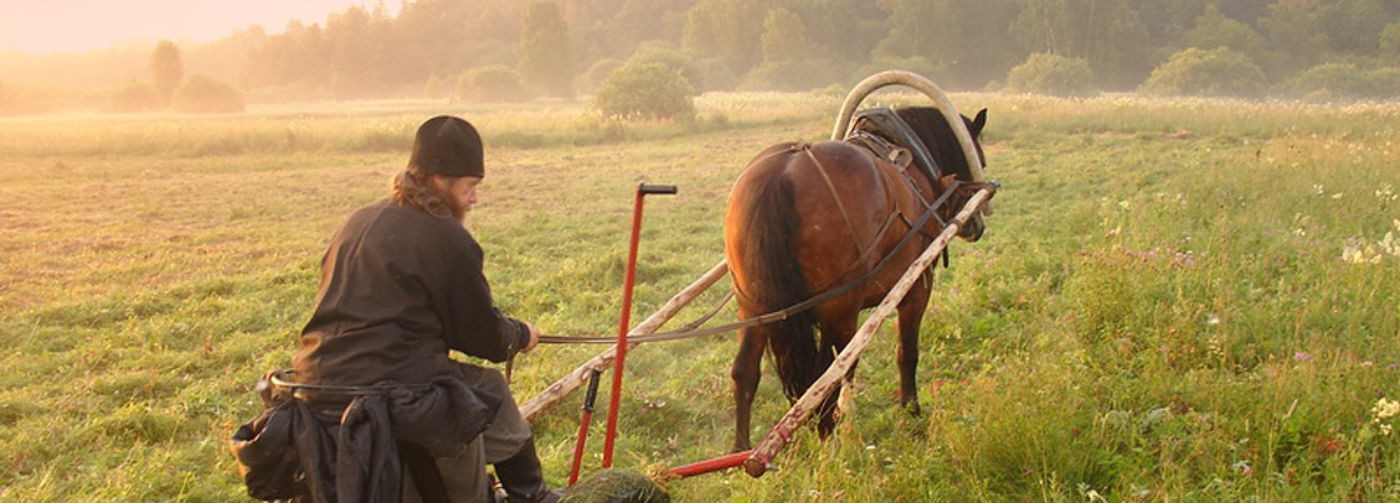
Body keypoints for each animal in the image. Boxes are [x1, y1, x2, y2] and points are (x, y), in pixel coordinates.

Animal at [728, 106, 991, 453]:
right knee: (822, 377)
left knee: (745, 372)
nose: (976, 225)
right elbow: (906, 353)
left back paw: (741, 450)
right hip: (836, 310)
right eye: (979, 159)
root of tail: (783, 175)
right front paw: (912, 412)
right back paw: (828, 445)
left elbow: (850, 364)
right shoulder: (916, 287)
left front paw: (847, 412)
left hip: (756, 308)